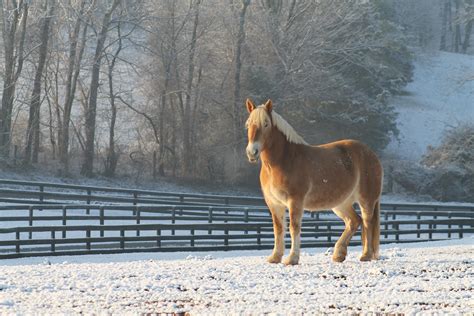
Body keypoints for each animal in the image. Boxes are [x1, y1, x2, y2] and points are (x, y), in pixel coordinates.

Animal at [243, 99, 384, 264]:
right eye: (248, 124)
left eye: (266, 124)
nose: (252, 152)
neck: (283, 160)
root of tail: (371, 154)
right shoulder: (274, 203)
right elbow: (278, 228)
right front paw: (275, 257)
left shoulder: (295, 201)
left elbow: (294, 228)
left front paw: (292, 258)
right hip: (341, 203)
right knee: (354, 221)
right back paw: (339, 254)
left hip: (366, 200)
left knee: (367, 222)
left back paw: (366, 255)